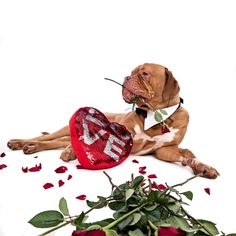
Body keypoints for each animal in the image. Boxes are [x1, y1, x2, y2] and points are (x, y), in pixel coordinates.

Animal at [7, 63, 219, 178]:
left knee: (53, 142)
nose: (126, 77)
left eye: (144, 73)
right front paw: (71, 152)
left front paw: (204, 168)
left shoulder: (166, 150)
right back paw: (19, 142)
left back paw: (31, 148)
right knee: (46, 137)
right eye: (132, 72)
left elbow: (188, 153)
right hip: (65, 130)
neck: (155, 115)